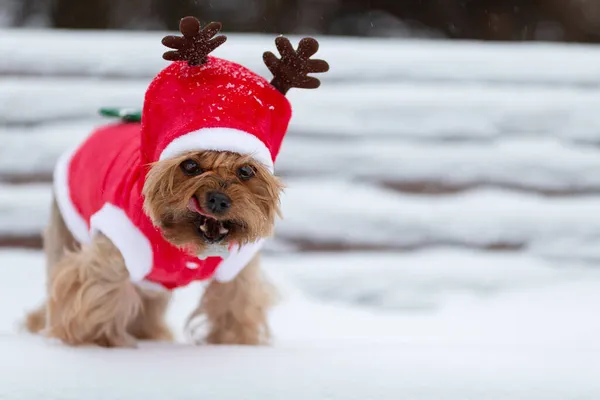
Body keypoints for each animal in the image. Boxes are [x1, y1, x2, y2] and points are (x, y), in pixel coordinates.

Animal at [24, 16, 328, 346]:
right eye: (190, 165)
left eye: (246, 172)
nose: (218, 199)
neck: (186, 247)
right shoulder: (114, 249)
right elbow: (97, 296)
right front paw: (99, 342)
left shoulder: (239, 269)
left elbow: (236, 304)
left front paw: (235, 341)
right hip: (68, 229)